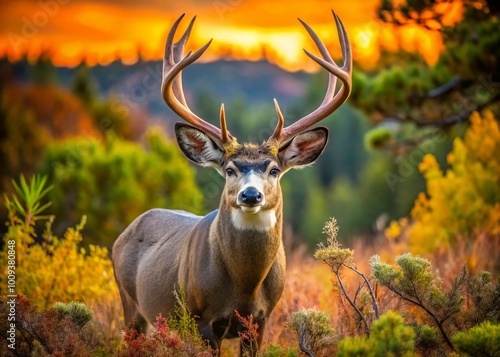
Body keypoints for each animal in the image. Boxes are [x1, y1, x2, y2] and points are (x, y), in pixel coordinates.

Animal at [113, 9, 352, 354]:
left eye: (274, 170)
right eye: (229, 169)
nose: (250, 195)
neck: (244, 287)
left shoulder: (261, 320)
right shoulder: (200, 320)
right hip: (130, 303)